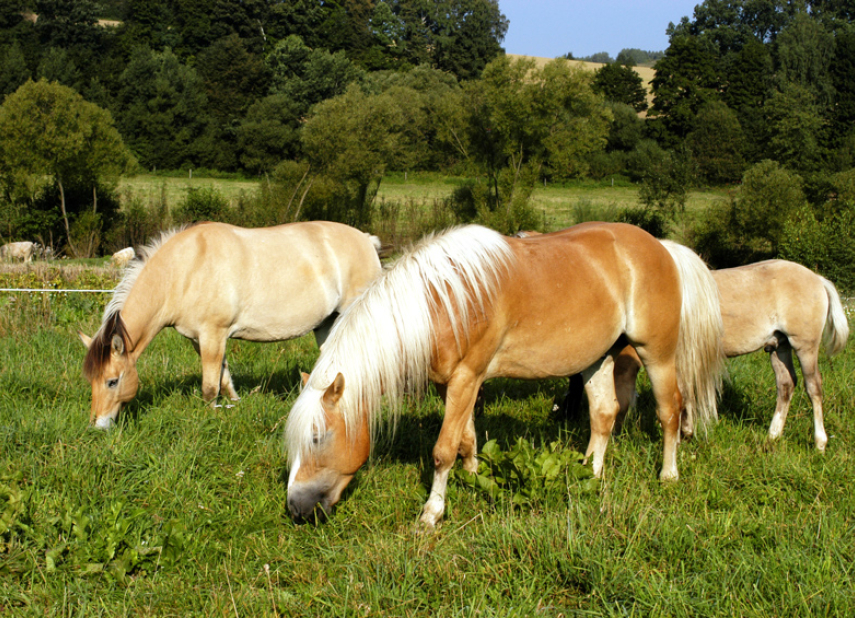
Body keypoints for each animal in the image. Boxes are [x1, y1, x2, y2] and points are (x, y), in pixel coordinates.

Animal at [79, 220, 382, 428]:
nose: (97, 425)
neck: (186, 269)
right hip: (327, 324)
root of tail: (367, 240)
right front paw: (236, 405)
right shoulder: (200, 339)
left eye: (112, 381)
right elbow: (223, 377)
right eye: (91, 380)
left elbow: (209, 387)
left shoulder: (213, 334)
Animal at [284, 221, 724, 524]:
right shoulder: (454, 384)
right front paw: (472, 476)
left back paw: (668, 474)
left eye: (318, 438)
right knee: (604, 414)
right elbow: (465, 438)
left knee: (670, 410)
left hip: (657, 354)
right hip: (597, 358)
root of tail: (662, 246)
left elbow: (443, 449)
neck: (442, 302)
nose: (295, 508)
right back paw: (590, 473)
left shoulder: (467, 377)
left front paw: (432, 513)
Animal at [568, 258, 848, 448]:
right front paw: (685, 431)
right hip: (779, 347)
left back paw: (819, 442)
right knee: (786, 385)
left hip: (805, 346)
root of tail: (817, 279)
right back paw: (773, 435)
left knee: (813, 387)